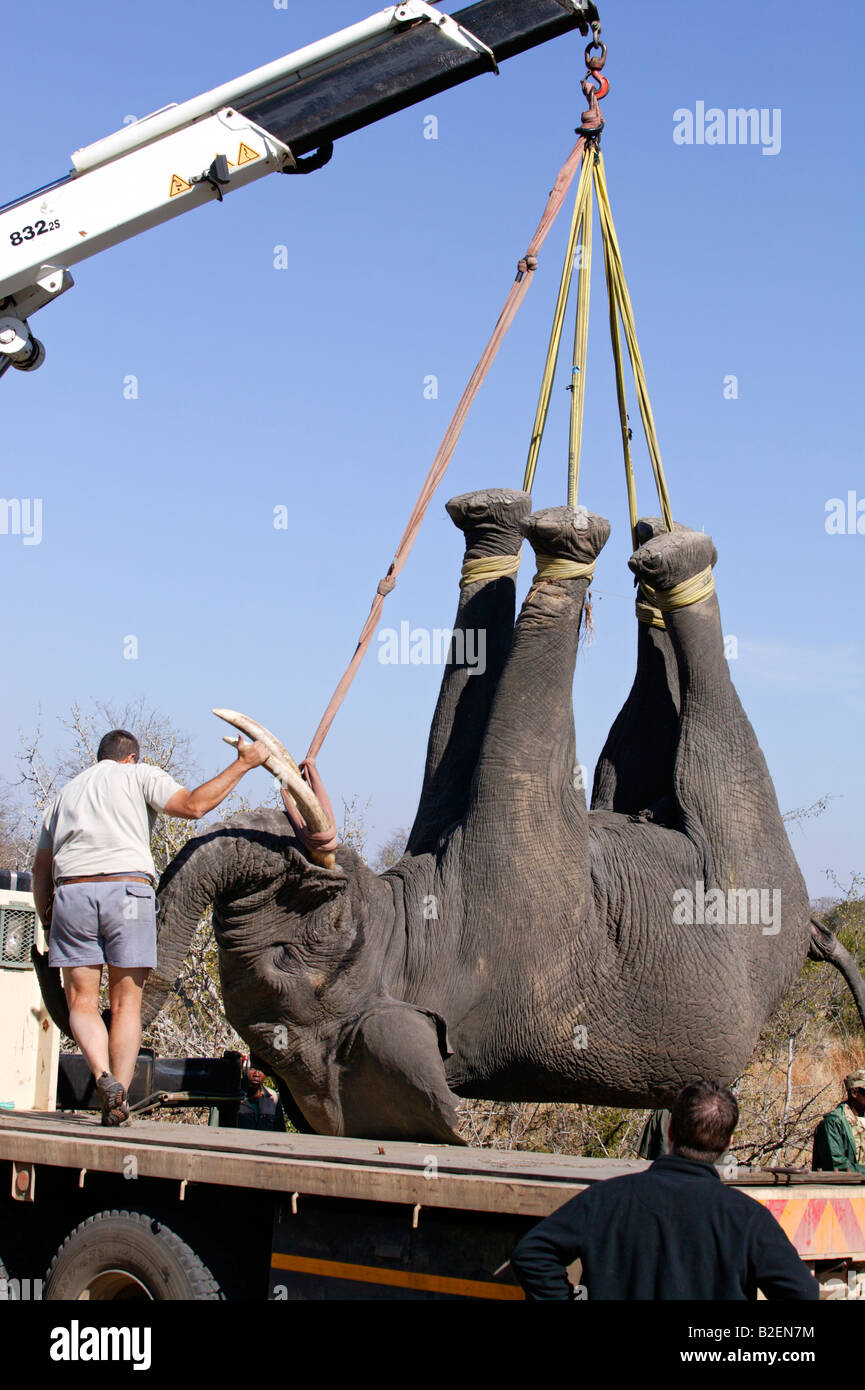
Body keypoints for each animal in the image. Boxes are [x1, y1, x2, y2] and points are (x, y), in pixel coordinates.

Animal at [95, 488, 865, 1144]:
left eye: (320, 927)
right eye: (307, 945)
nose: (122, 1089)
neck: (411, 939)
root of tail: (811, 933)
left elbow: (457, 718)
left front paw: (495, 520)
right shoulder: (518, 878)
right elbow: (515, 733)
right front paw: (566, 538)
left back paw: (628, 537)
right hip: (752, 873)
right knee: (713, 749)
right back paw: (673, 556)